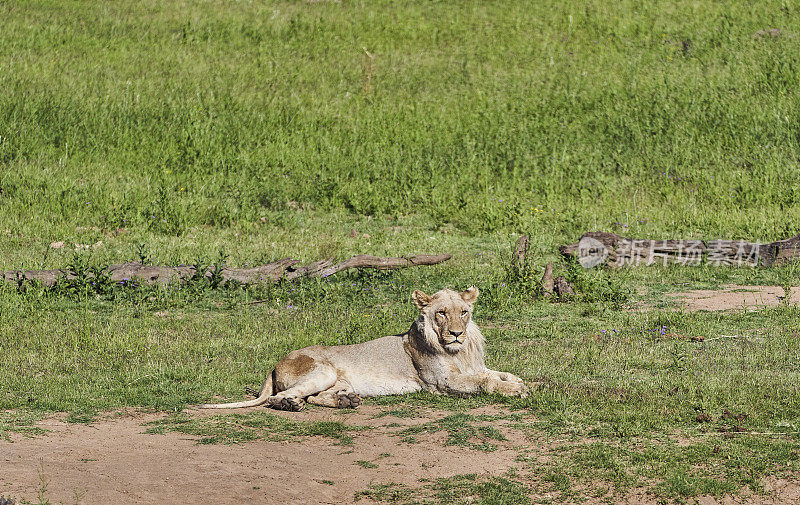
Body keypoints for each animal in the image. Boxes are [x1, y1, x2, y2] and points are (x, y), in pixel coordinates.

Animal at [198, 286, 528, 412]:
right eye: (442, 313)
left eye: (464, 312)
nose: (457, 334)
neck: (459, 351)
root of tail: (275, 363)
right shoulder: (442, 383)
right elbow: (485, 381)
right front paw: (515, 391)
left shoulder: (473, 367)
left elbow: (500, 373)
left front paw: (522, 383)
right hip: (322, 370)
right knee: (279, 397)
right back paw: (290, 405)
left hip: (333, 380)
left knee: (315, 397)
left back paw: (347, 400)